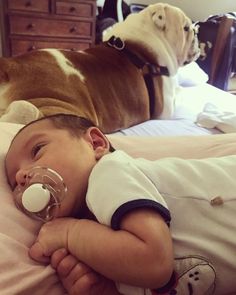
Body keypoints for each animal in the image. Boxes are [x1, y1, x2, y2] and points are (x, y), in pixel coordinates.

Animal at [0, 2, 199, 133]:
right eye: (186, 28)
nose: (197, 32)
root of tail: (10, 65)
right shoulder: (166, 111)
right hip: (57, 108)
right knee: (24, 111)